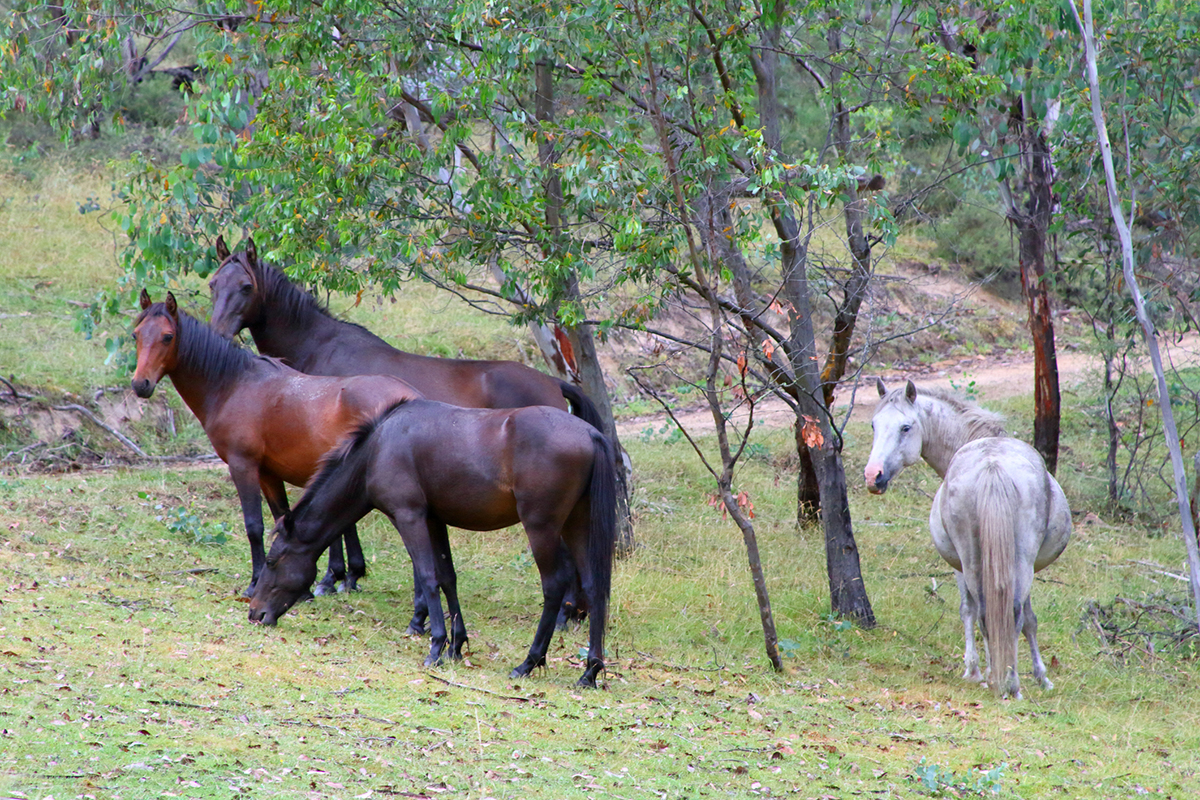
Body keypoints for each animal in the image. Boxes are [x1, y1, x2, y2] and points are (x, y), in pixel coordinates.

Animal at [130, 291, 422, 597]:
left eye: (168, 337)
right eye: (135, 335)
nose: (140, 384)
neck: (233, 385)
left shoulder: (243, 466)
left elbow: (253, 526)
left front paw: (254, 582)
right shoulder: (269, 474)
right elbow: (281, 518)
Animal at [212, 235, 600, 628]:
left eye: (246, 287)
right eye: (213, 283)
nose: (218, 334)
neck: (320, 349)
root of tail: (553, 383)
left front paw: (336, 576)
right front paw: (349, 574)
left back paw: (565, 613)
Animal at [247, 400, 614, 690]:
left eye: (273, 561)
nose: (255, 613)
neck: (378, 450)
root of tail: (590, 434)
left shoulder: (409, 516)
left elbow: (427, 576)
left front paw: (436, 646)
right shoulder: (436, 521)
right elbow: (447, 577)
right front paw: (456, 645)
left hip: (542, 528)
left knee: (554, 586)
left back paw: (529, 662)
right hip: (576, 525)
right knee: (594, 588)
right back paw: (590, 671)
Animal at [864, 381, 1070, 700]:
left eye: (905, 427)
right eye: (874, 425)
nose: (873, 476)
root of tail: (993, 467)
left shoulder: (960, 566)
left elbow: (972, 611)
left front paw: (977, 670)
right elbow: (1023, 619)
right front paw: (1036, 675)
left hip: (979, 562)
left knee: (992, 613)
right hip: (1010, 562)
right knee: (1004, 613)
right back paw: (1008, 681)